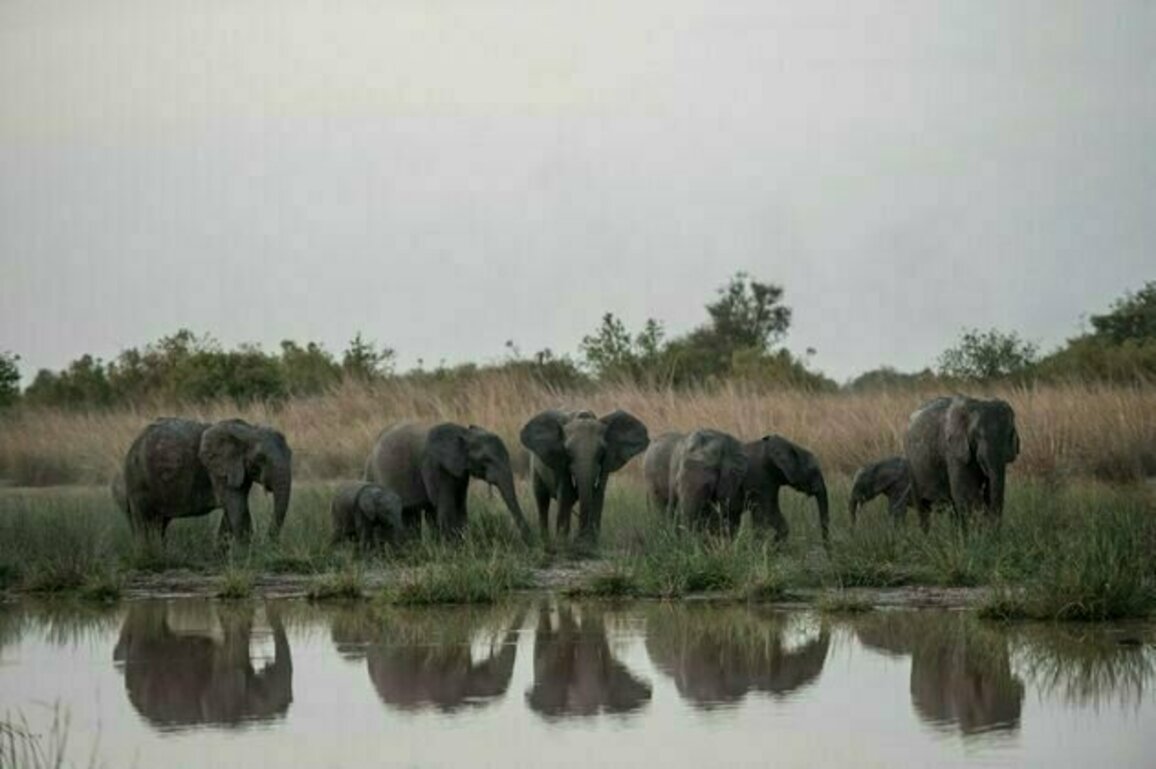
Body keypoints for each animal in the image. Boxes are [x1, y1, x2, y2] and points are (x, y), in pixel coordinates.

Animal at [121, 418, 292, 544]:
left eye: (290, 454)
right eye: (260, 458)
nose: (270, 542)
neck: (249, 430)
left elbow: (233, 508)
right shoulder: (217, 470)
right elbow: (237, 507)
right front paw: (248, 553)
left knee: (160, 523)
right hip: (137, 481)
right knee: (143, 521)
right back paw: (147, 554)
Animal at [364, 421, 531, 542]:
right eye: (486, 460)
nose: (530, 542)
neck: (464, 434)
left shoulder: (460, 470)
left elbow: (459, 505)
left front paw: (462, 545)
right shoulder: (435, 466)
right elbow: (446, 506)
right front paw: (452, 550)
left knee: (413, 513)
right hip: (373, 472)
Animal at [520, 409, 649, 547]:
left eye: (601, 452)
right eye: (568, 452)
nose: (579, 538)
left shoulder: (607, 462)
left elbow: (598, 494)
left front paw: (591, 543)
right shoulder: (561, 461)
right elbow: (566, 494)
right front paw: (563, 543)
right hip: (535, 466)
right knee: (541, 499)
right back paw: (546, 542)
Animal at [904, 396, 1020, 530]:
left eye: (1010, 433)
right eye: (977, 435)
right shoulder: (953, 450)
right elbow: (966, 495)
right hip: (912, 465)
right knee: (923, 508)